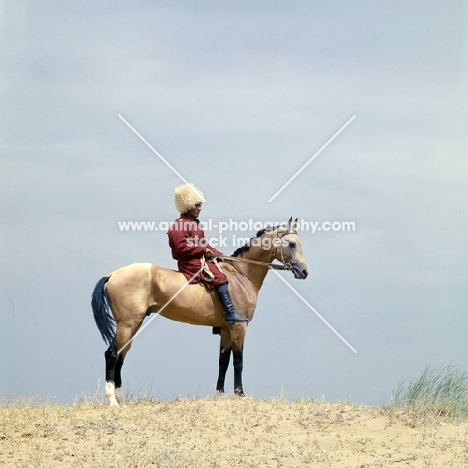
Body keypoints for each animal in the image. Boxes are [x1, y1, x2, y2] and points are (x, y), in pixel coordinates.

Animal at [93, 219, 308, 406]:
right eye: (291, 244)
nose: (304, 271)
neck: (241, 275)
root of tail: (112, 275)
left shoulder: (226, 330)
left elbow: (223, 361)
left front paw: (220, 395)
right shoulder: (239, 327)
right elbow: (238, 361)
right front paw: (240, 394)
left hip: (132, 325)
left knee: (121, 354)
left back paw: (121, 400)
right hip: (127, 325)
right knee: (111, 354)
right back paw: (112, 401)